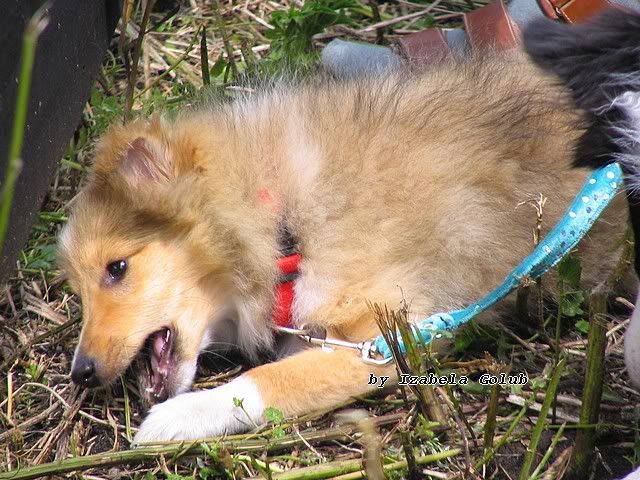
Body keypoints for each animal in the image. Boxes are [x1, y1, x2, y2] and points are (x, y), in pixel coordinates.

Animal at [58, 11, 636, 444]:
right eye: (80, 287)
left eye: (117, 268)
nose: (80, 373)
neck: (283, 218)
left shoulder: (392, 335)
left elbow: (271, 378)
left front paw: (182, 417)